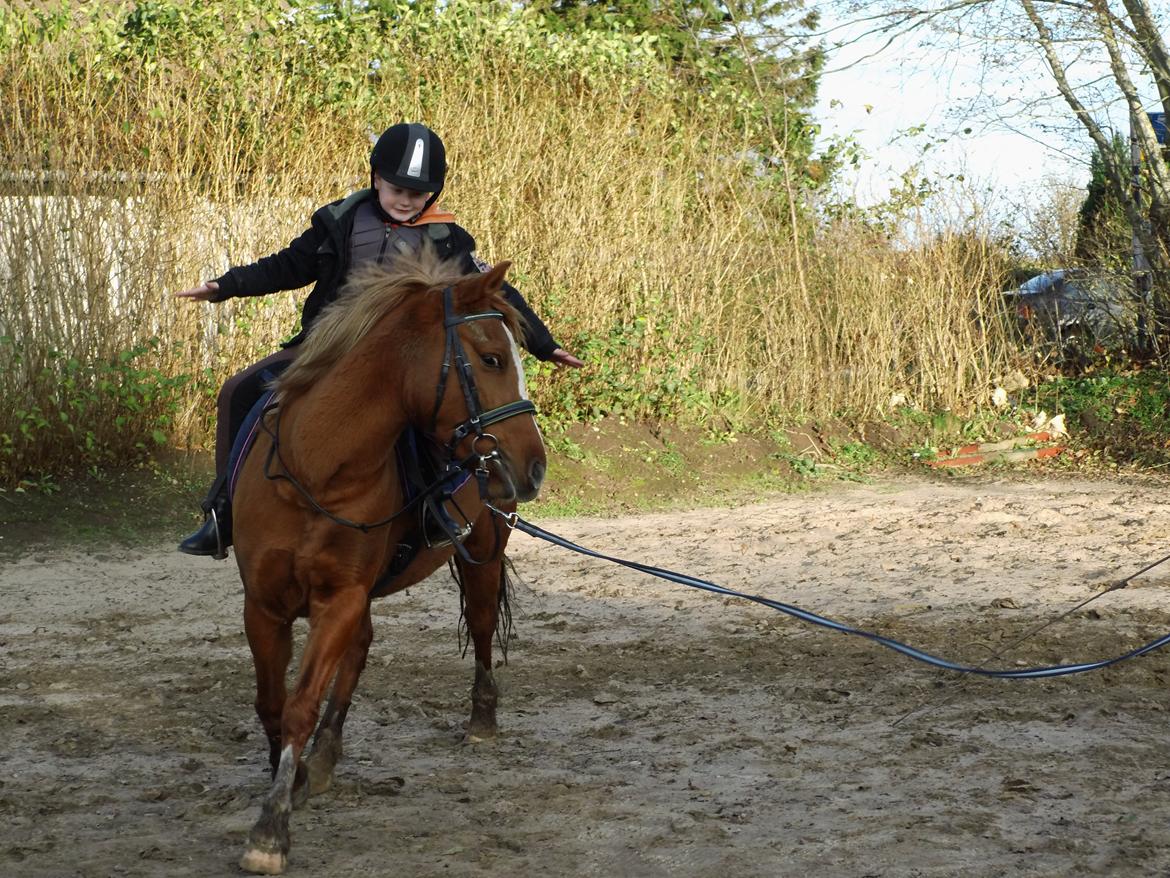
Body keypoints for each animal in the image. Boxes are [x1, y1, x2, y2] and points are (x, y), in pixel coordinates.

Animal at [230, 250, 545, 875]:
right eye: (492, 358)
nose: (534, 465)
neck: (318, 469)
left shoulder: (341, 598)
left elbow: (299, 705)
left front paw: (271, 829)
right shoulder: (266, 606)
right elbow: (272, 704)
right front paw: (289, 777)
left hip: (483, 556)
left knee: (479, 628)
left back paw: (481, 719)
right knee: (359, 652)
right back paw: (325, 754)